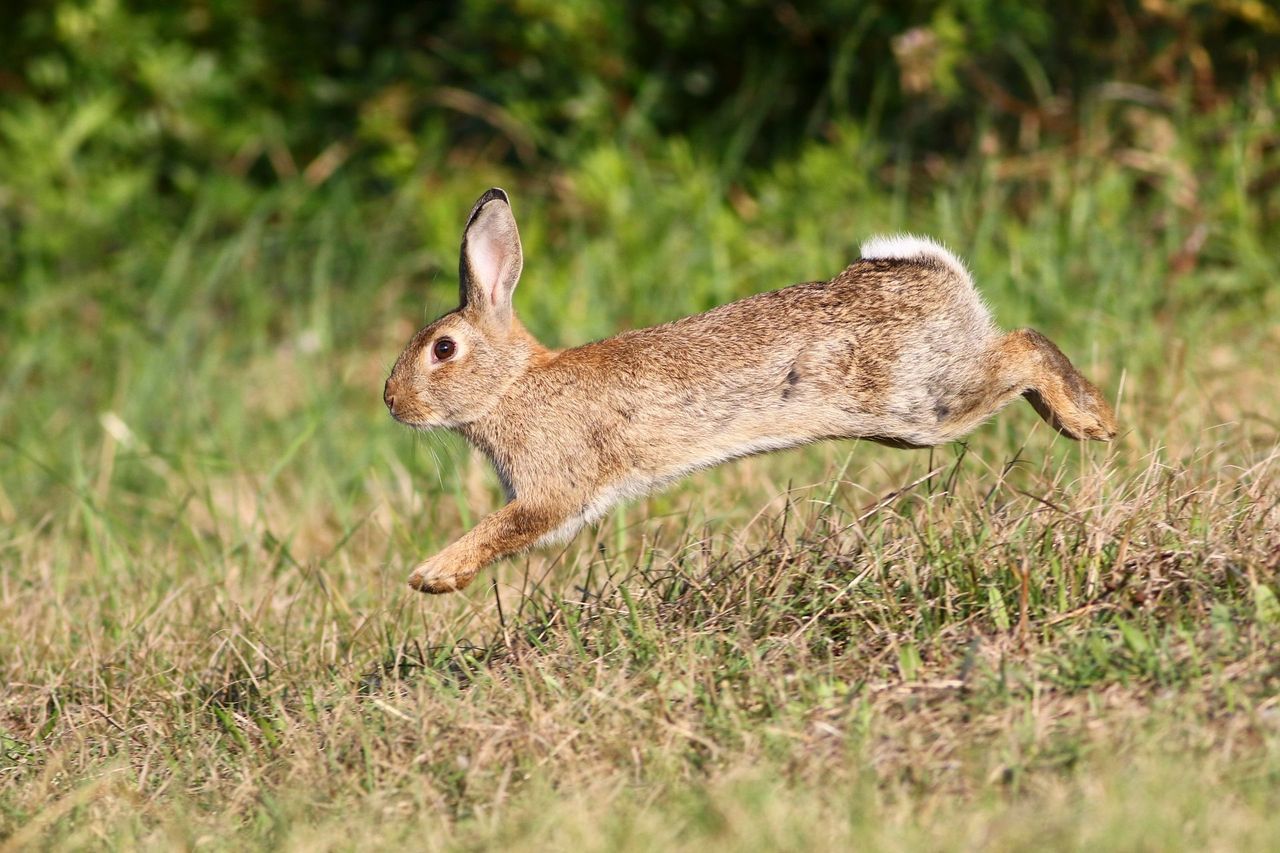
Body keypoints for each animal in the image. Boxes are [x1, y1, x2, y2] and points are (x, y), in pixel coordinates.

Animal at [384, 188, 1116, 594]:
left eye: (443, 350)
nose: (392, 403)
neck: (512, 384)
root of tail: (935, 275)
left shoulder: (552, 487)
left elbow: (506, 527)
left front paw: (431, 576)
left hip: (922, 402)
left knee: (1023, 347)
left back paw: (1091, 421)